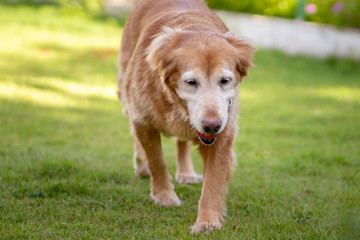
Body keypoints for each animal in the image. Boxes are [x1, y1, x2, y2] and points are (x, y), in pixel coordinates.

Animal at [116, 0, 255, 233]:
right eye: (191, 82)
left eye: (225, 80)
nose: (212, 126)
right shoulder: (143, 119)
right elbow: (156, 161)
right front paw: (164, 196)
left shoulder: (224, 133)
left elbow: (213, 182)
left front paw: (207, 221)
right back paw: (141, 166)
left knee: (182, 143)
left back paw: (186, 173)